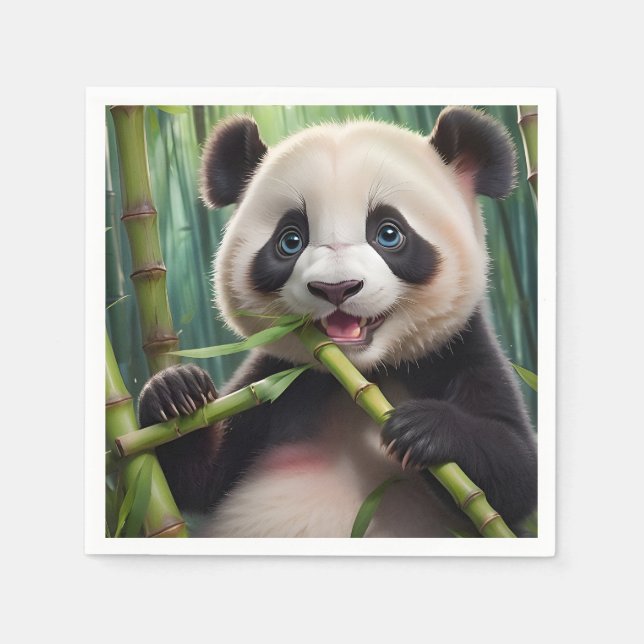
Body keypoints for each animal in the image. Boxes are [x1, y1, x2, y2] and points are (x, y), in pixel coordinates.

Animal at [138, 106, 538, 538]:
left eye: (389, 233)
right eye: (290, 240)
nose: (336, 288)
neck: (360, 377)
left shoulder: (456, 351)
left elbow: (515, 475)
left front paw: (422, 429)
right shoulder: (278, 382)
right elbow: (195, 479)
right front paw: (176, 392)